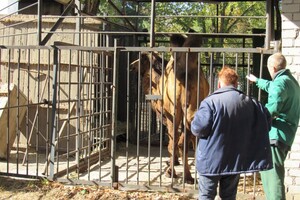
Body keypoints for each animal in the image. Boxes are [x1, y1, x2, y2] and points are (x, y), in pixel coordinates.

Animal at [130, 34, 210, 183]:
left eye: (141, 59)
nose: (132, 66)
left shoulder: (166, 115)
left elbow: (172, 140)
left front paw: (173, 163)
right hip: (192, 107)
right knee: (188, 138)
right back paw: (189, 176)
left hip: (175, 110)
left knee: (176, 141)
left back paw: (172, 173)